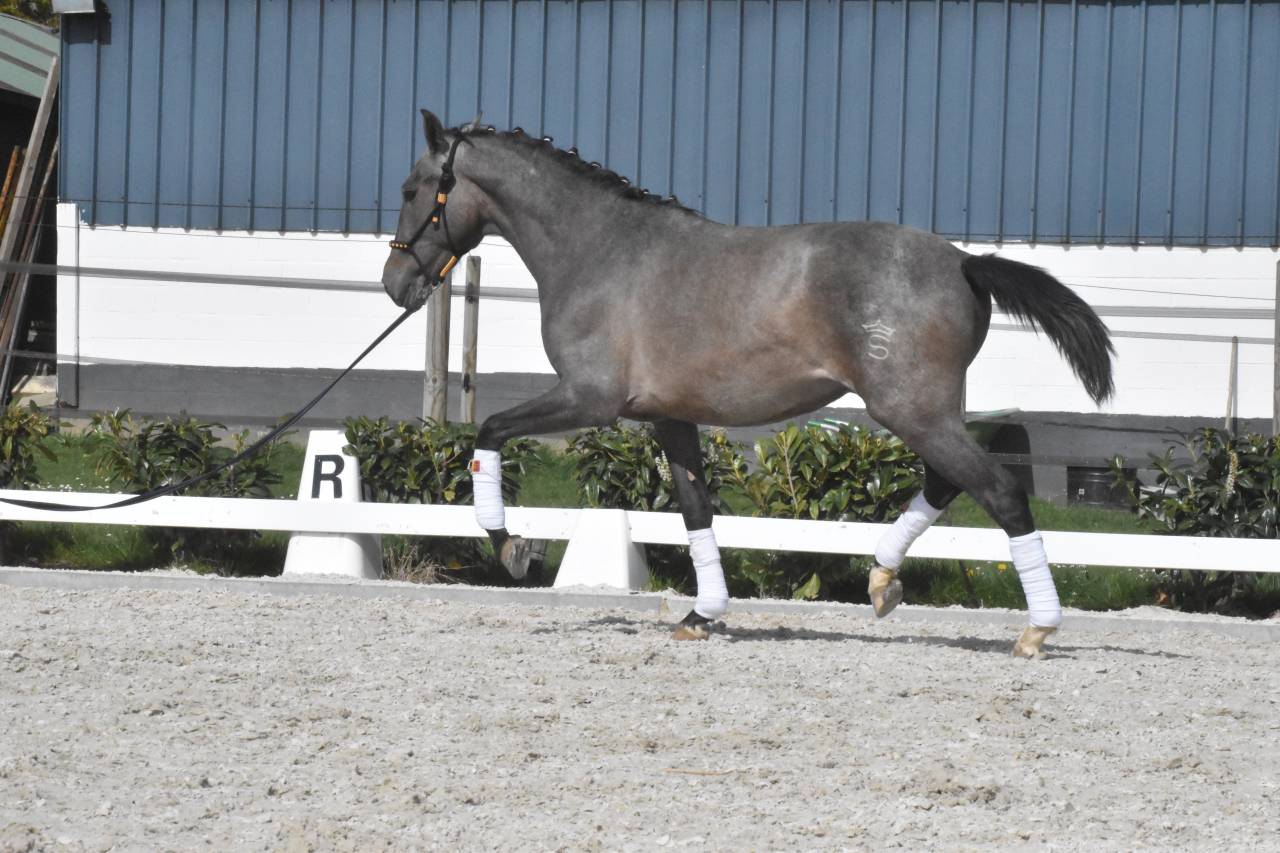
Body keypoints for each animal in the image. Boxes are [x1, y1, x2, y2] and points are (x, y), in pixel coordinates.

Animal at [382, 111, 1114, 659]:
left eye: (413, 188)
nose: (395, 285)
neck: (599, 250)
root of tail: (964, 261)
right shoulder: (669, 416)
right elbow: (696, 511)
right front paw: (703, 614)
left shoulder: (588, 399)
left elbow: (488, 432)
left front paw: (513, 549)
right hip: (927, 412)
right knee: (949, 484)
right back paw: (882, 580)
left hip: (911, 410)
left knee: (1000, 491)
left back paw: (1035, 629)